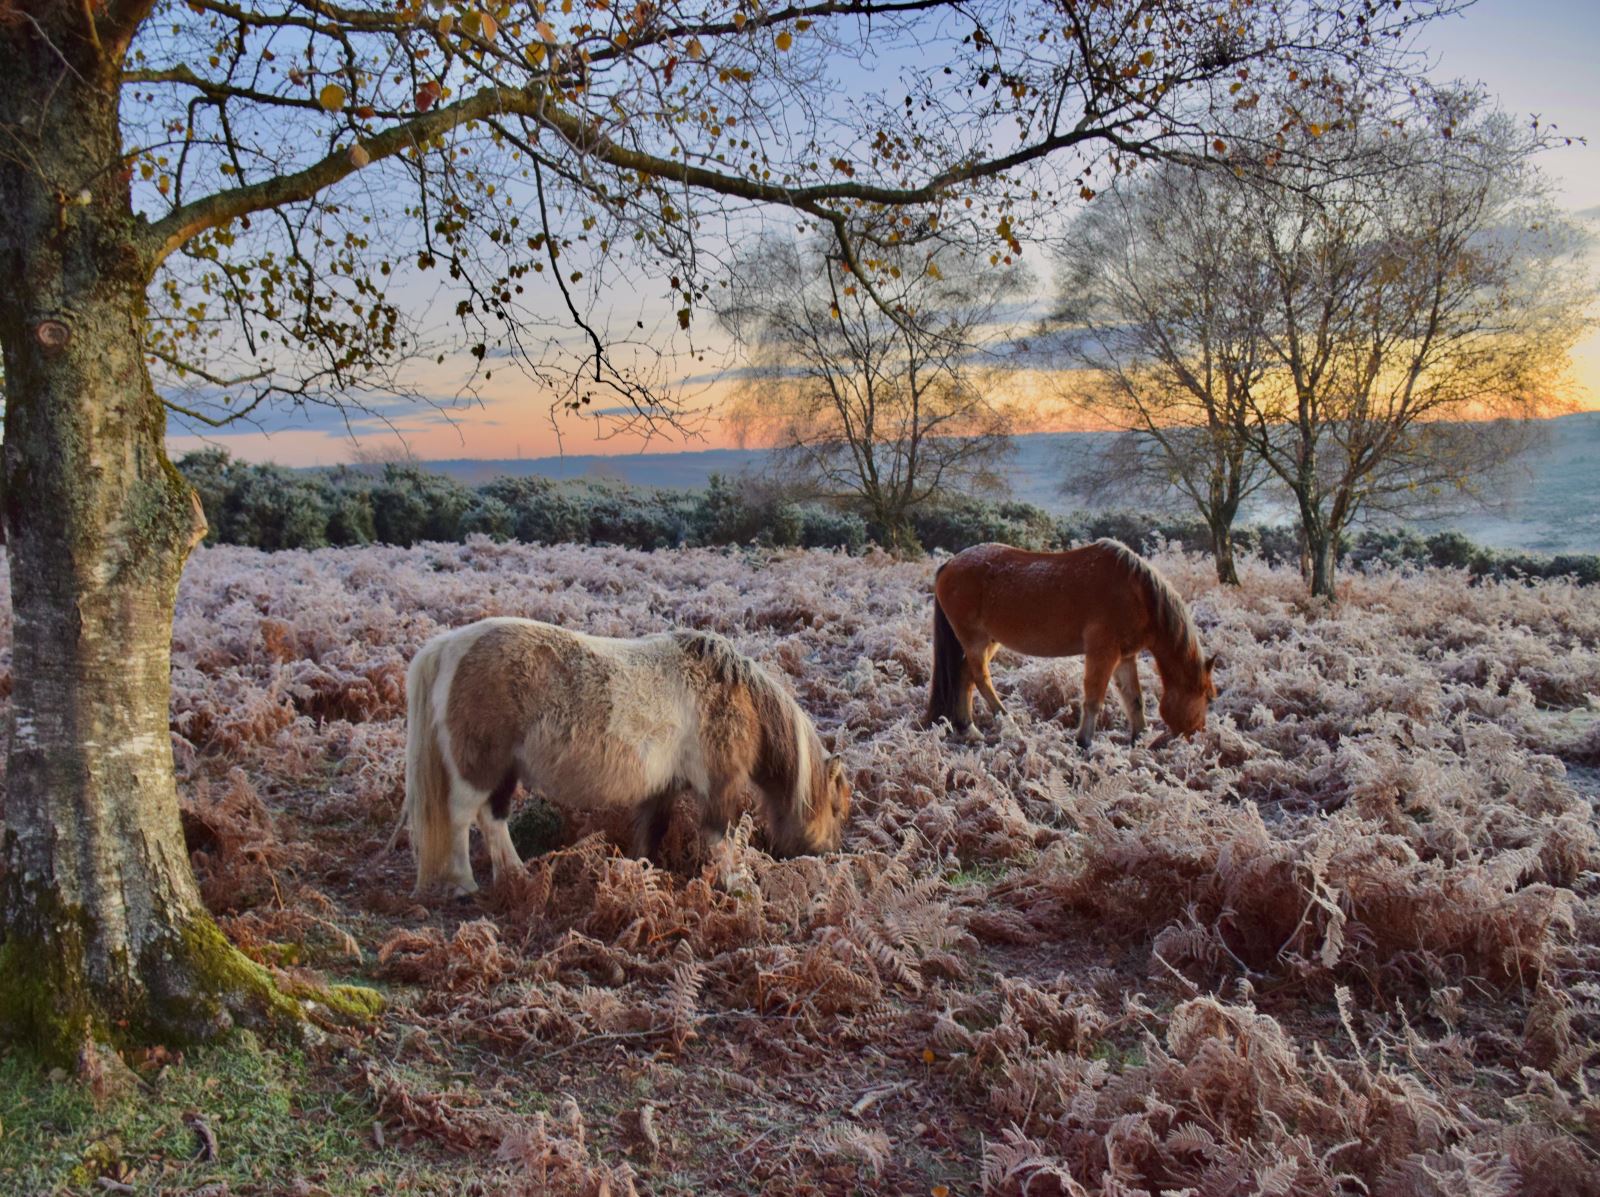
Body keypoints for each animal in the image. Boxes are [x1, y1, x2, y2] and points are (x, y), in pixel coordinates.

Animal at [395, 620, 857, 896]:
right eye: (836, 809)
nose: (830, 854)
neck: (736, 697)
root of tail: (448, 645)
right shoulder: (720, 785)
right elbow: (719, 837)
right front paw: (735, 883)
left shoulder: (663, 788)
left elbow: (651, 831)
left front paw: (641, 873)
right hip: (478, 768)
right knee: (461, 817)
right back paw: (464, 884)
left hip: (504, 770)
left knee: (493, 818)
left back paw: (516, 875)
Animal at [928, 540, 1209, 748]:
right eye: (1207, 696)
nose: (1197, 735)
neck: (1137, 593)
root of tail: (950, 564)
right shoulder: (1102, 652)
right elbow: (1094, 698)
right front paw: (1084, 742)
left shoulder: (1125, 656)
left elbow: (1134, 698)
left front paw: (1138, 738)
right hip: (975, 639)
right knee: (980, 678)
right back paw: (1008, 724)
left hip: (988, 641)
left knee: (965, 676)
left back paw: (968, 729)